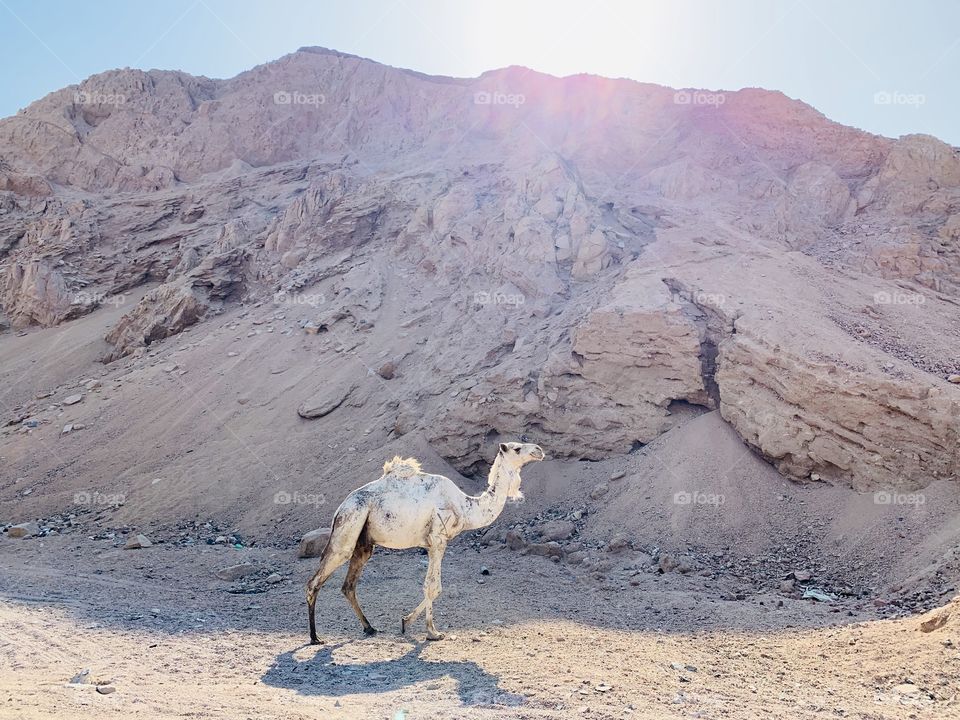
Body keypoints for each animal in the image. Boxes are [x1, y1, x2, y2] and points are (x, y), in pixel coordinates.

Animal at [306, 441, 545, 643]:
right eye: (517, 448)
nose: (539, 450)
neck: (466, 507)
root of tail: (340, 508)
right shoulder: (438, 540)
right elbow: (433, 587)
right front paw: (432, 632)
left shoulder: (431, 545)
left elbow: (432, 587)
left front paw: (406, 622)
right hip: (349, 525)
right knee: (315, 580)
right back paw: (315, 637)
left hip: (363, 542)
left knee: (348, 586)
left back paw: (369, 628)